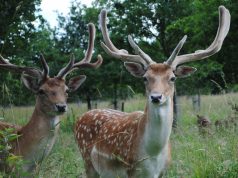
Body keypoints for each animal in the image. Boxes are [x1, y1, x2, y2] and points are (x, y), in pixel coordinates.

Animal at [75, 6, 231, 177]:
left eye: (172, 78)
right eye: (145, 78)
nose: (156, 97)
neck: (152, 154)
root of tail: (81, 117)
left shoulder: (164, 171)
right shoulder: (130, 170)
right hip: (88, 162)